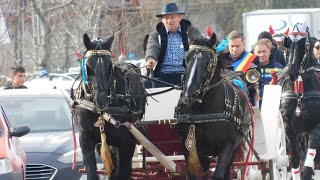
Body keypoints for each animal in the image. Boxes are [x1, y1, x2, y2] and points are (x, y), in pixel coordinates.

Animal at [72, 33, 146, 179]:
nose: (101, 101)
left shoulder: (124, 142)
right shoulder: (86, 139)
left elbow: (122, 172)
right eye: (88, 67)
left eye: (109, 67)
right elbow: (93, 172)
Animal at [175, 32, 252, 179]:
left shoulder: (227, 146)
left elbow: (218, 174)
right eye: (185, 60)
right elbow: (194, 174)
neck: (204, 111)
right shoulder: (189, 147)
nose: (188, 97)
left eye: (208, 62)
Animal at [278, 23, 320, 179]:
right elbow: (295, 159)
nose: (292, 72)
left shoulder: (316, 125)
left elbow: (311, 152)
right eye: (288, 44)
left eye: (304, 44)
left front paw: (307, 172)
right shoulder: (288, 127)